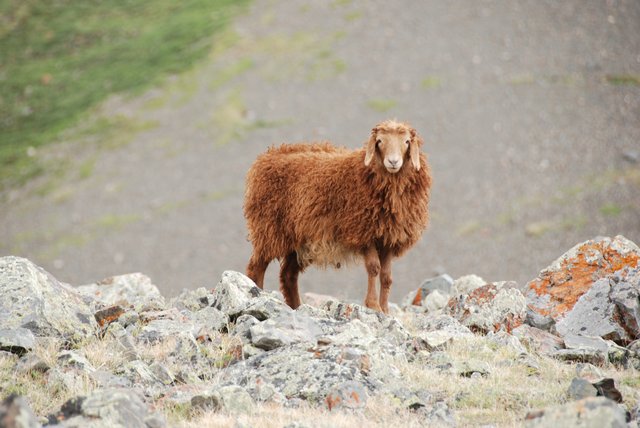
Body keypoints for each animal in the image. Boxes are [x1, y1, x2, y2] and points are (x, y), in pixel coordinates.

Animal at [243, 120, 431, 313]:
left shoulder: (387, 238)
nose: (393, 161)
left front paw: (385, 309)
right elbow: (374, 268)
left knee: (288, 275)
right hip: (269, 229)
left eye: (407, 142)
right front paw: (373, 305)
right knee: (256, 267)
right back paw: (257, 294)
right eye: (379, 141)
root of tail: (267, 156)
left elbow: (386, 276)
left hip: (298, 239)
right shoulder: (363, 232)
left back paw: (296, 307)